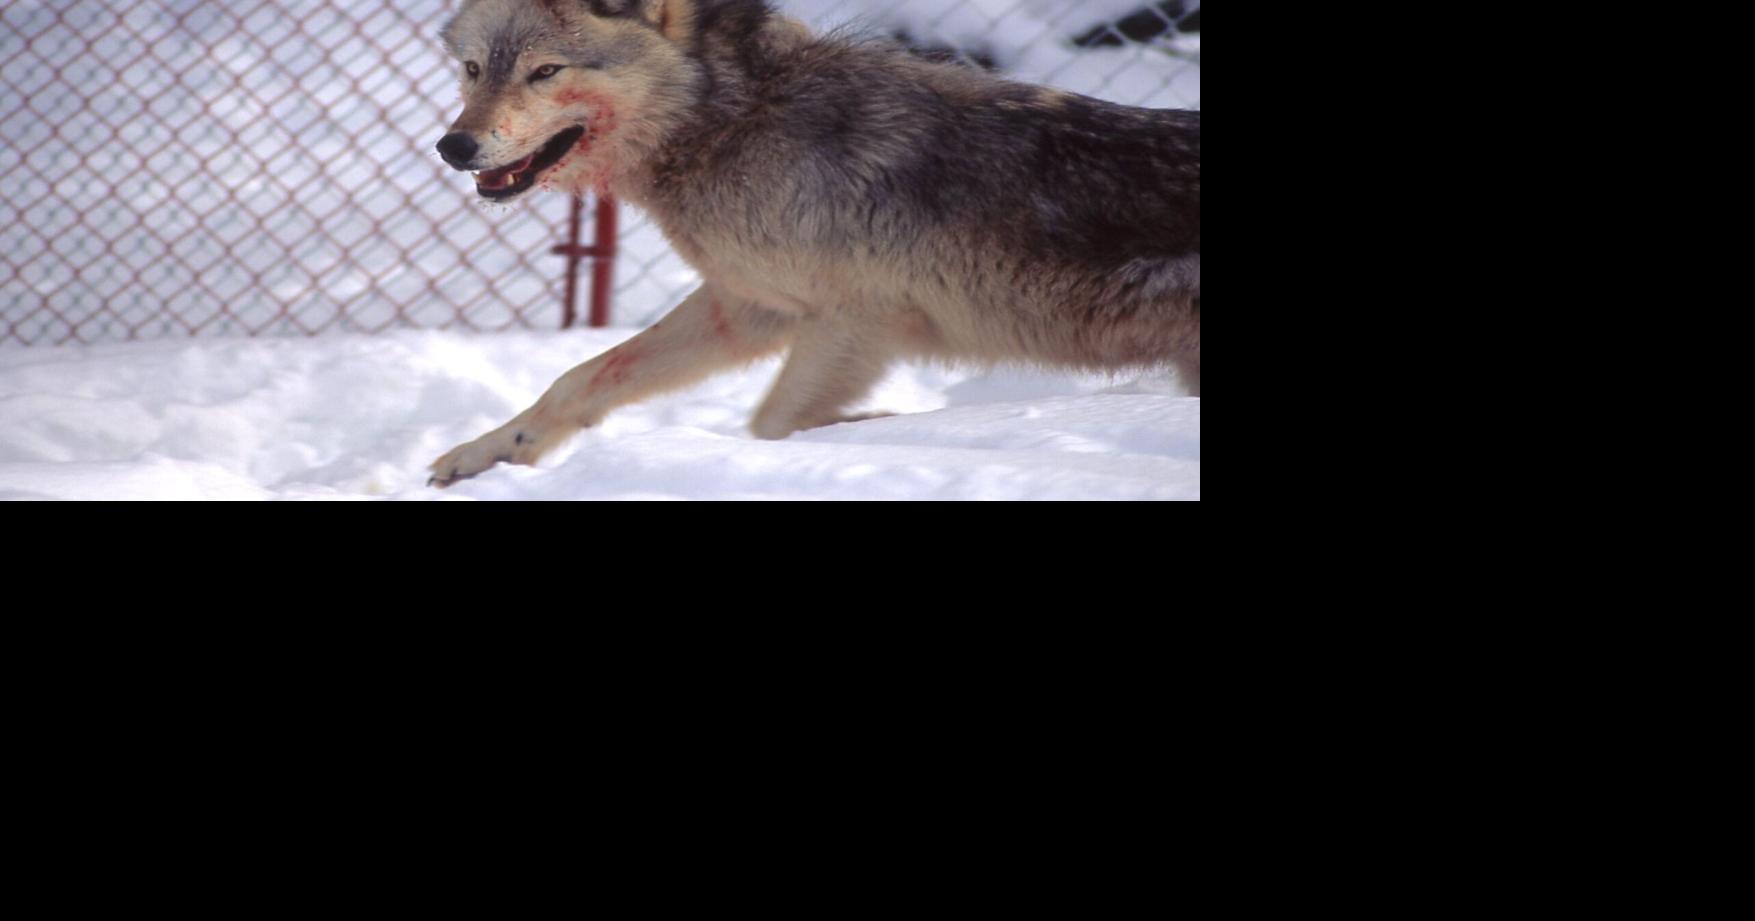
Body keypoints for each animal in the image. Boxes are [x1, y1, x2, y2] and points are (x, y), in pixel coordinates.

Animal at [428, 0, 1200, 487]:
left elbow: (772, 423)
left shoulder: (857, 321)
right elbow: (580, 378)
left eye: (545, 71)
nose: (452, 146)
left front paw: (872, 433)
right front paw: (486, 455)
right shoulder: (747, 306)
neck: (736, 114)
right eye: (474, 69)